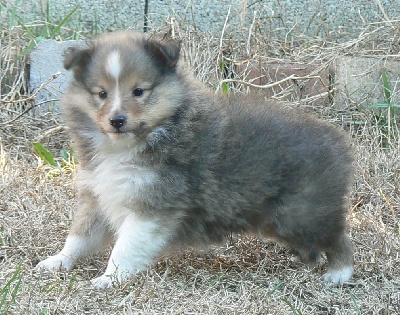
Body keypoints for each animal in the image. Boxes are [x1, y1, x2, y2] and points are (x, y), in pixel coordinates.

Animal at [37, 30, 354, 290]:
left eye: (139, 91)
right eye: (101, 94)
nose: (117, 120)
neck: (125, 147)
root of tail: (338, 142)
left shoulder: (153, 205)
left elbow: (125, 246)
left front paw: (109, 278)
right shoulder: (99, 194)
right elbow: (79, 237)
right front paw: (57, 261)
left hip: (300, 213)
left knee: (338, 236)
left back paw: (339, 273)